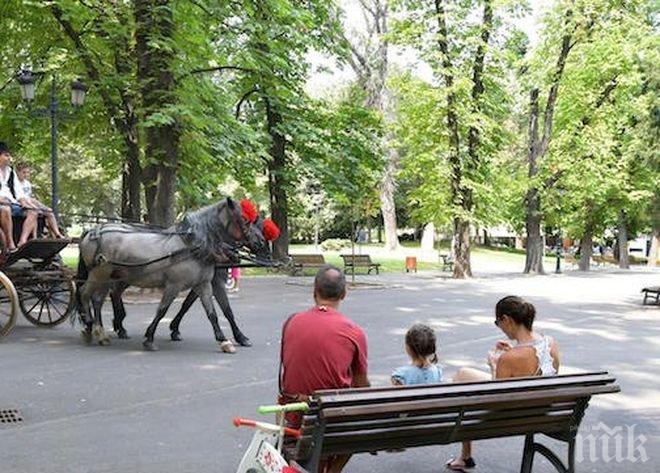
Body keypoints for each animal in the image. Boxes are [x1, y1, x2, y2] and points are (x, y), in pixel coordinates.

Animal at [78, 197, 270, 352]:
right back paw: (90, 325)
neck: (193, 246)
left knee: (98, 299)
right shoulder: (175, 285)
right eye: (245, 220)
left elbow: (213, 313)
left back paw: (101, 332)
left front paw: (225, 340)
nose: (261, 243)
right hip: (99, 275)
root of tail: (92, 231)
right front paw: (150, 339)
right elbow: (162, 310)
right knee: (85, 294)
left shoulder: (204, 284)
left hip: (110, 277)